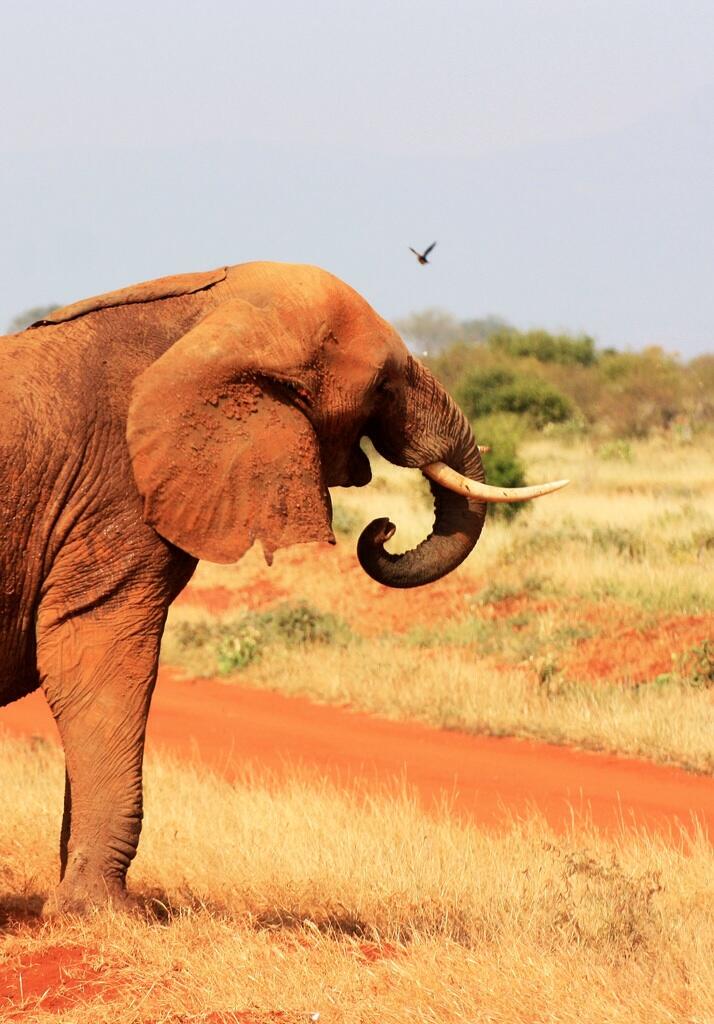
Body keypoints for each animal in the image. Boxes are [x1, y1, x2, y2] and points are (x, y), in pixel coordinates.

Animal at [1, 262, 569, 913]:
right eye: (384, 384)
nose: (382, 529)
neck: (204, 321)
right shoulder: (114, 499)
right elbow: (97, 658)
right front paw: (108, 913)